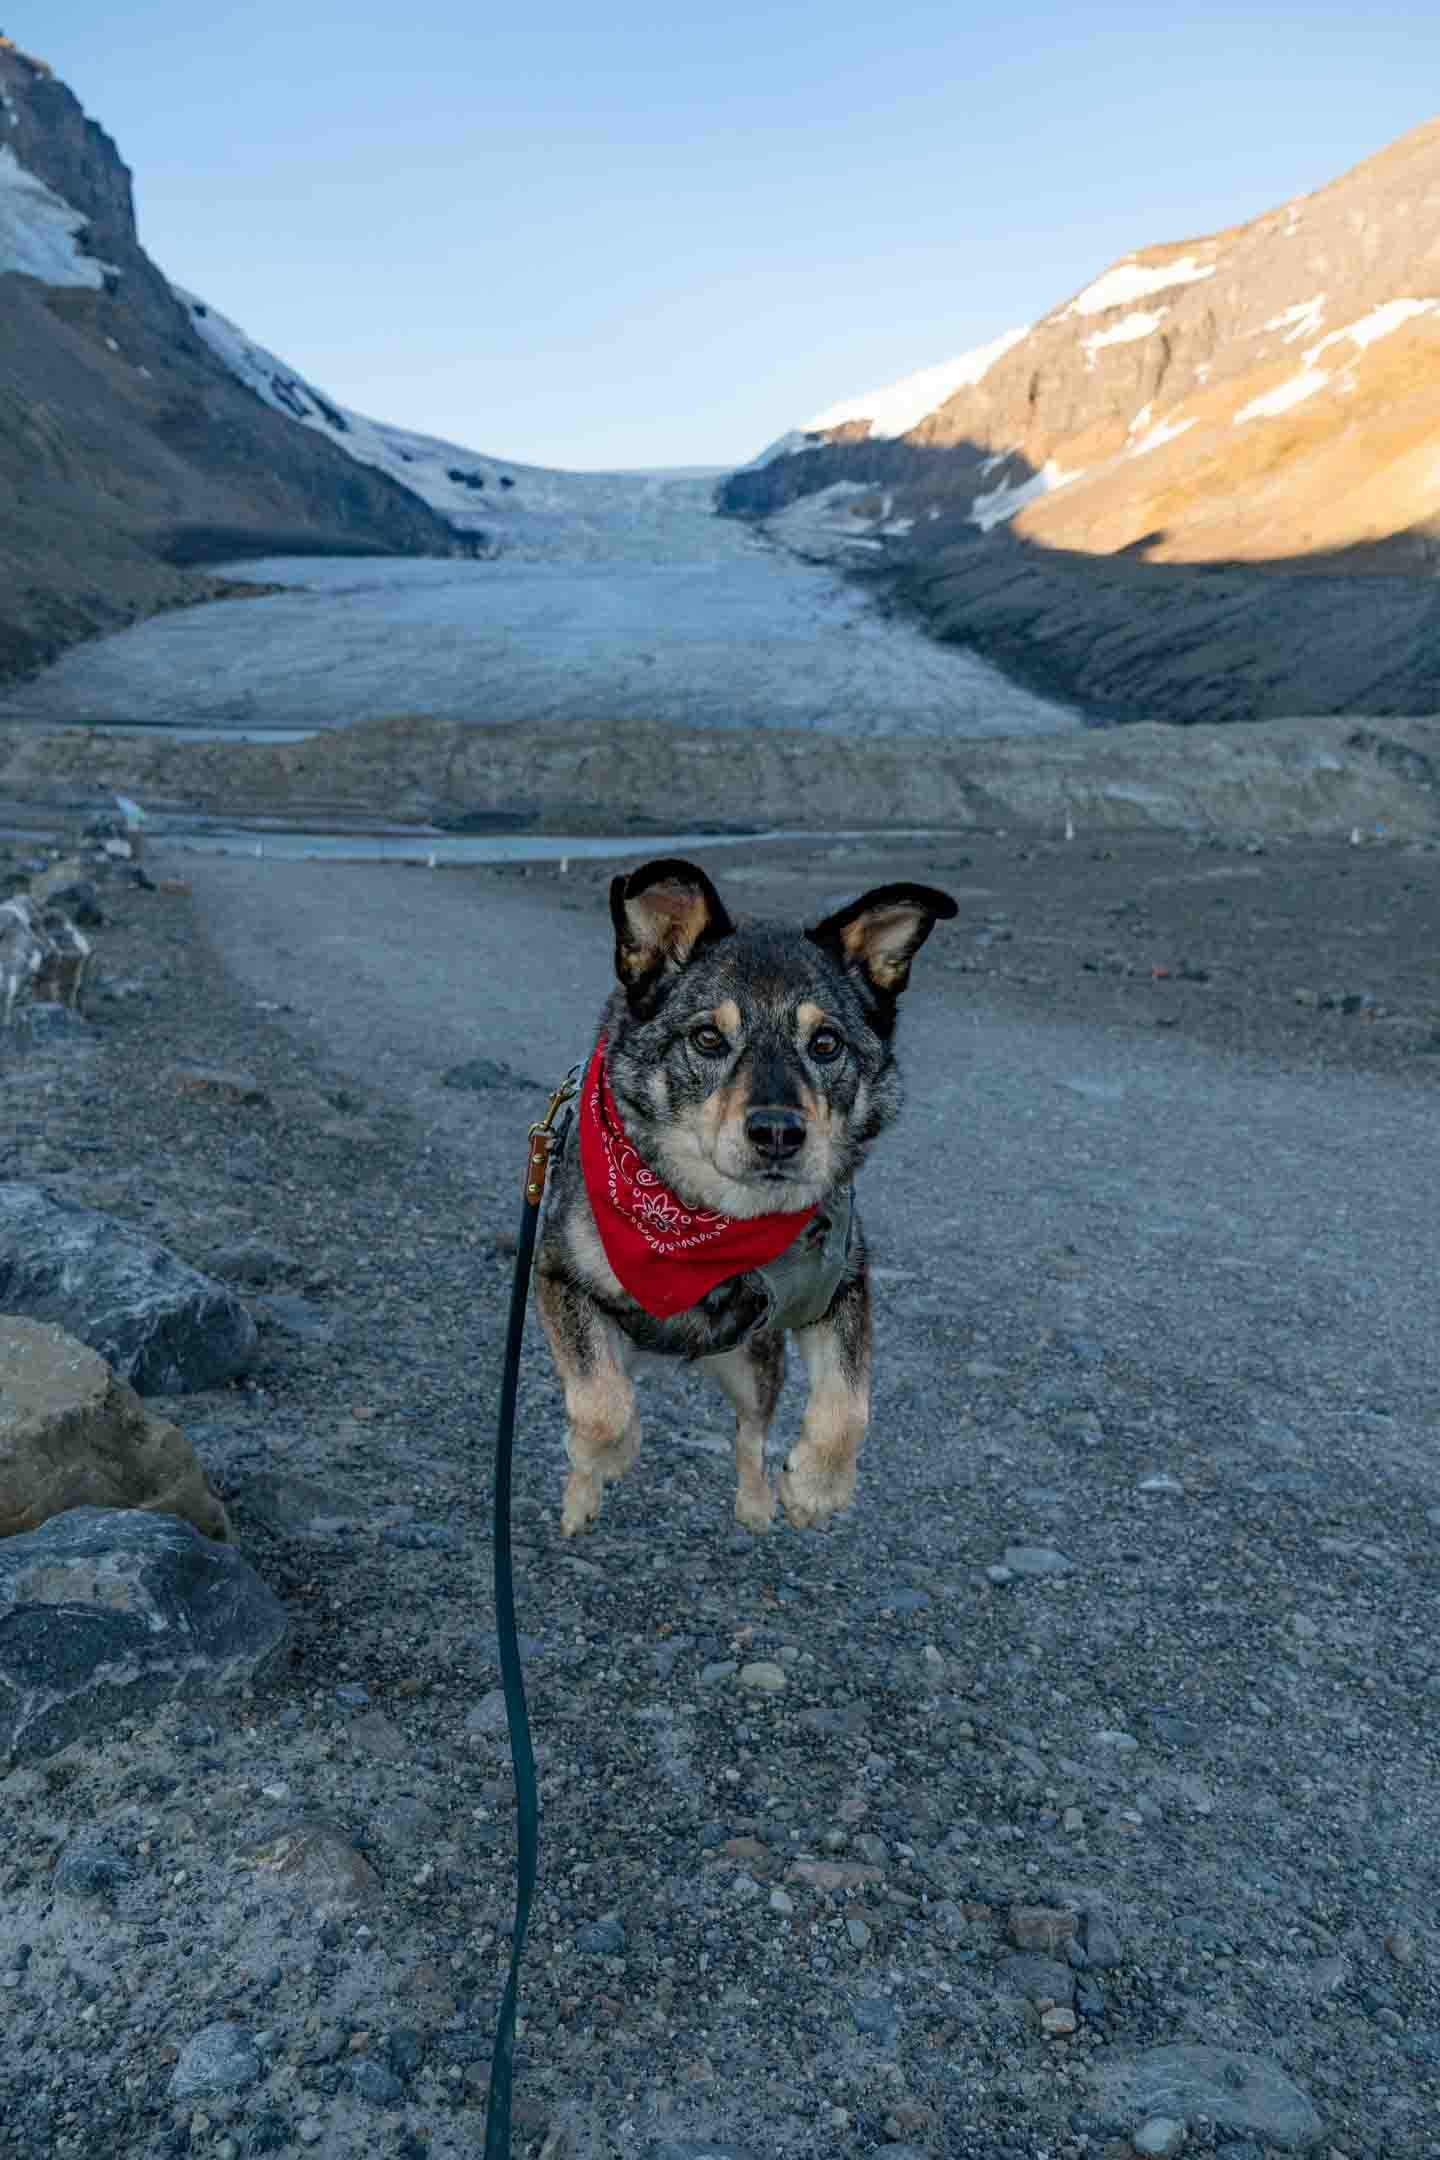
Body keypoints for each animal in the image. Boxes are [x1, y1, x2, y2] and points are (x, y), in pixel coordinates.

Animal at [533, 859, 958, 1537]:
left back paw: (757, 1508)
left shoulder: (841, 1282)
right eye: (708, 1038)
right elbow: (602, 1405)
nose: (778, 1133)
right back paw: (581, 1497)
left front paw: (816, 1487)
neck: (706, 1219)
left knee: (750, 1434)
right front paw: (607, 1458)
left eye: (826, 1044)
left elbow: (849, 1405)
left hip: (751, 1362)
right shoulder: (558, 1277)